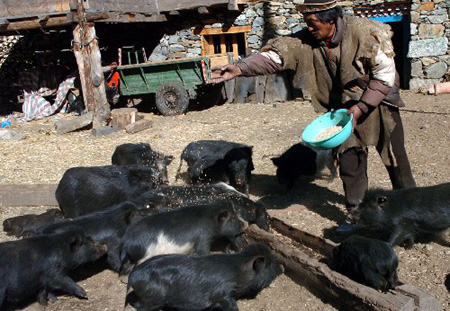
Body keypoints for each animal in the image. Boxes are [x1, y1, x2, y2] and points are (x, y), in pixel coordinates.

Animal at [118, 202, 246, 276]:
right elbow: (203, 251)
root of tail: (127, 242)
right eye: (232, 218)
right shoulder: (203, 238)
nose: (245, 224)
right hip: (146, 255)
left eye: (236, 214)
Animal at [125, 244, 284, 311]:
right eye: (269, 264)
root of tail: (133, 276)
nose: (282, 267)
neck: (239, 272)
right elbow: (232, 305)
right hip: (153, 297)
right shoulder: (223, 293)